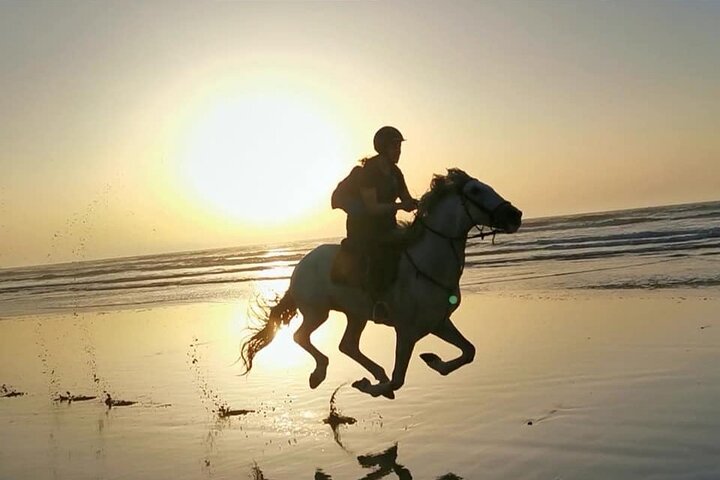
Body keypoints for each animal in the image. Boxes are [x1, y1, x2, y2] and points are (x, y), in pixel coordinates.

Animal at [240, 168, 522, 399]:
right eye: (475, 190)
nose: (515, 215)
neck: (429, 263)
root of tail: (300, 265)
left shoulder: (439, 323)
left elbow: (469, 351)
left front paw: (433, 360)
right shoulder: (406, 331)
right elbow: (398, 380)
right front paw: (370, 387)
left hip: (355, 314)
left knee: (347, 345)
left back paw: (375, 372)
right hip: (317, 311)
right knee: (301, 336)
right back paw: (320, 373)